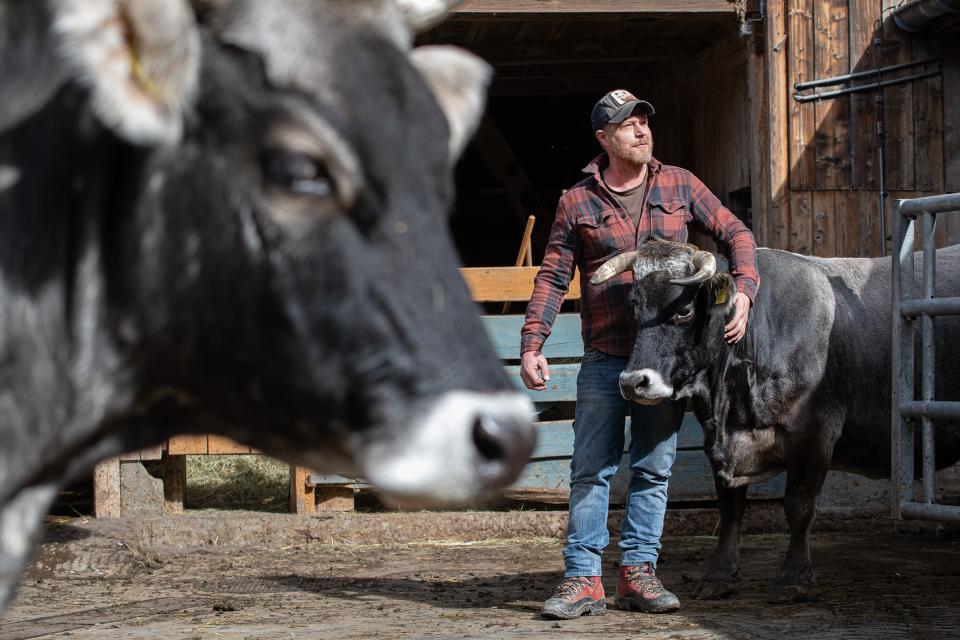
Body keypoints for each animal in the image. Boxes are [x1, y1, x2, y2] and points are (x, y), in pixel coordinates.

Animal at [592, 240, 960, 604]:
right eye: (634, 307)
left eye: (683, 311)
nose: (633, 382)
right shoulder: (719, 443)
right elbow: (730, 511)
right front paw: (718, 576)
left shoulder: (814, 435)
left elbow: (798, 506)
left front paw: (792, 579)